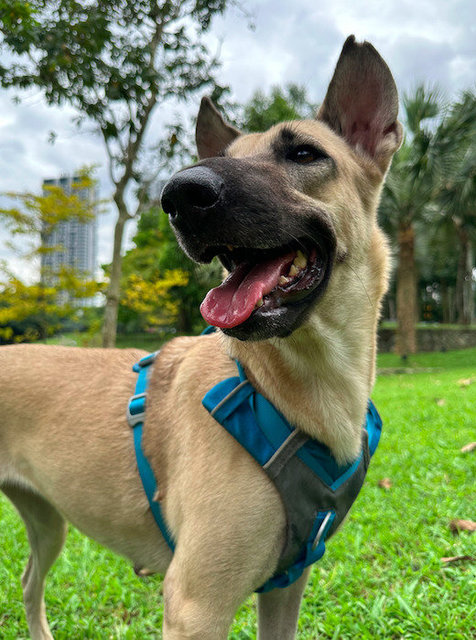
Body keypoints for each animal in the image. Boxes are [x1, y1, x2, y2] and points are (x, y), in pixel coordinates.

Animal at [0, 36, 404, 640]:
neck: (289, 386)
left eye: (304, 154)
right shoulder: (197, 604)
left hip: (47, 519)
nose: (180, 194)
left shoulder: (286, 584)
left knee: (29, 580)